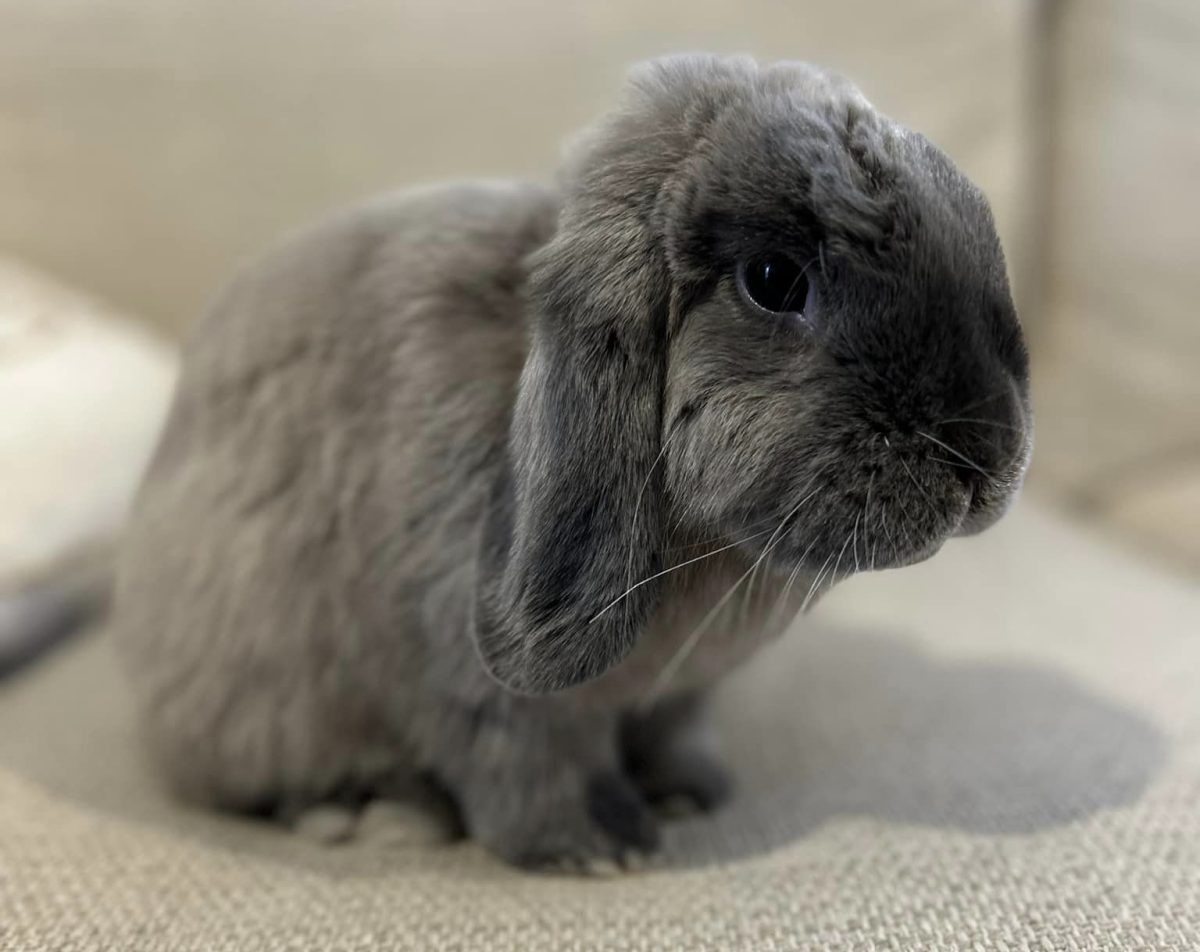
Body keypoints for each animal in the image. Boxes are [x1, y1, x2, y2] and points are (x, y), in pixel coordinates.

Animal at [108, 51, 1036, 869]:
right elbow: (527, 764)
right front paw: (598, 848)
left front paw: (689, 791)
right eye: (773, 279)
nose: (984, 459)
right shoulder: (485, 693)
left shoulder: (679, 695)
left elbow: (674, 728)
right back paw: (371, 813)